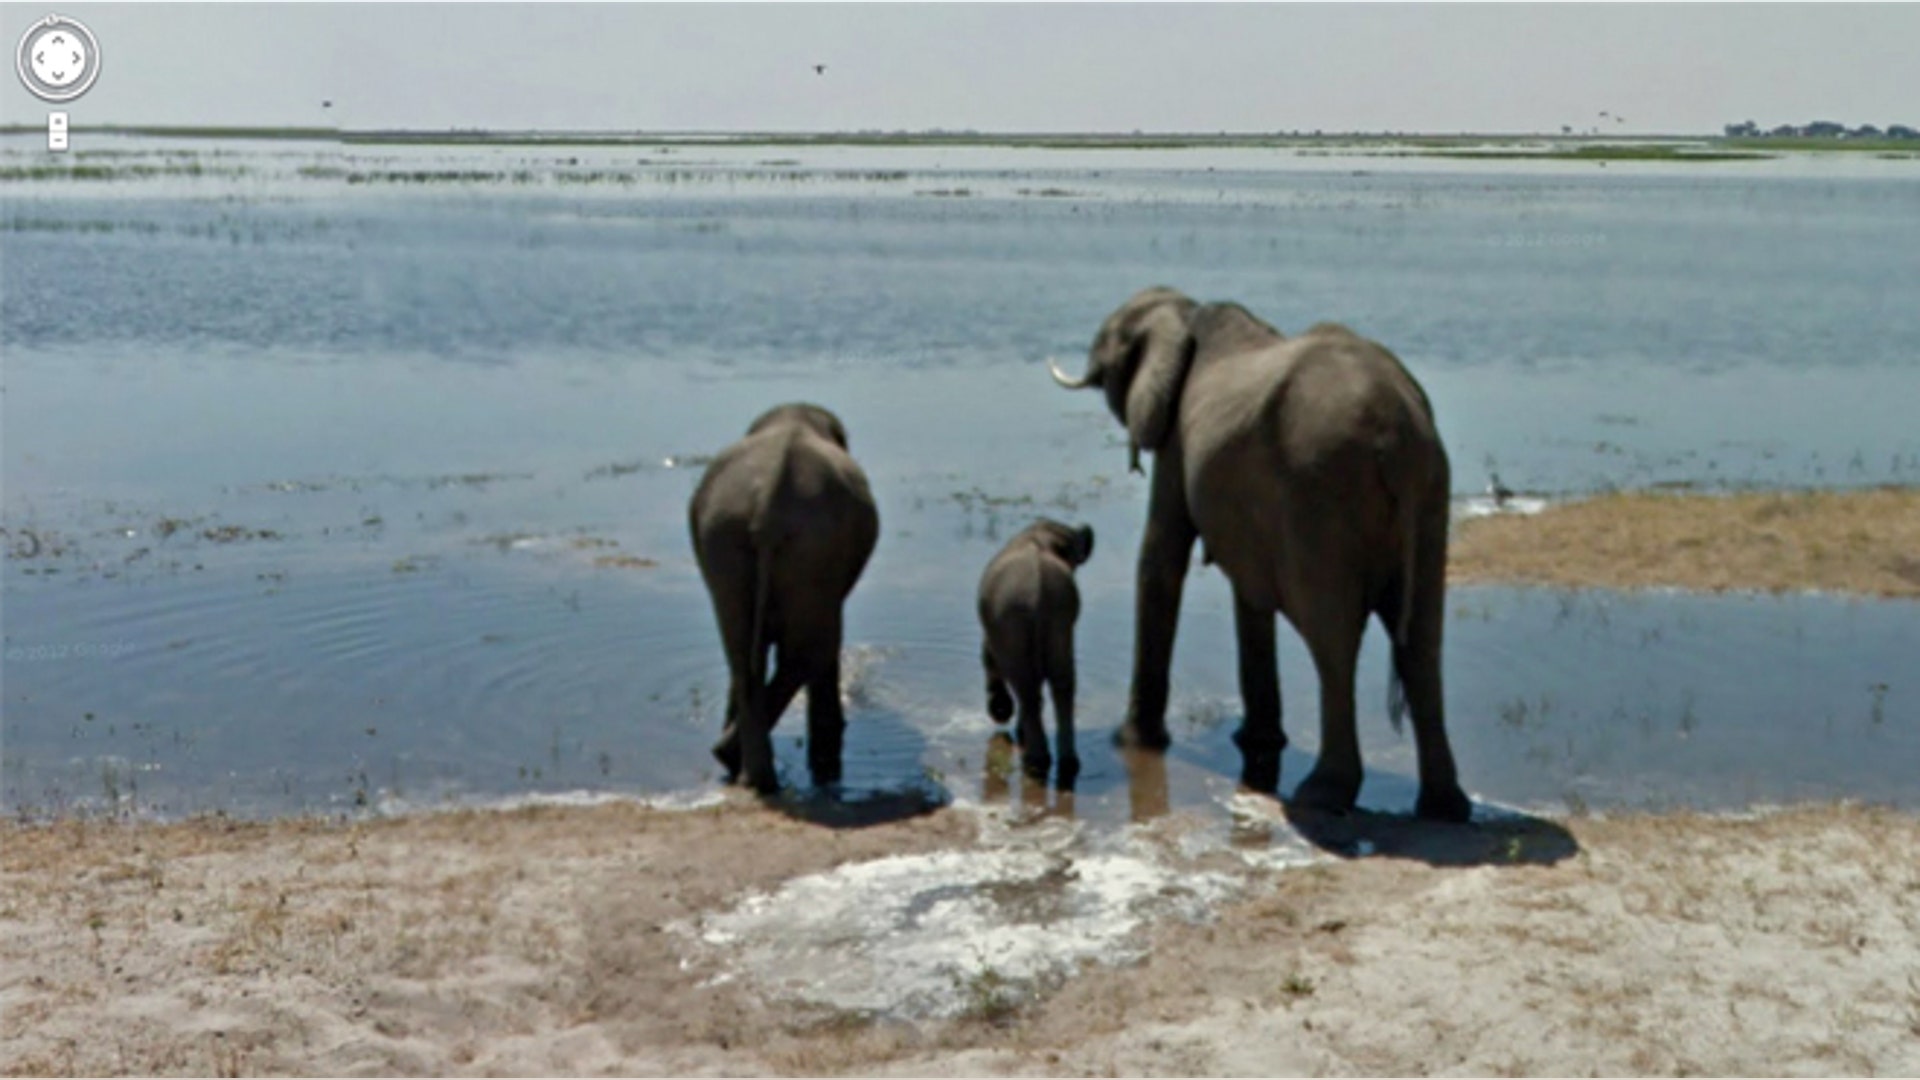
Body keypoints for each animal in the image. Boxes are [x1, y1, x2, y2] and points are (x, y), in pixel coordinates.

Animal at [689, 403, 879, 794]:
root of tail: (767, 507)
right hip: (815, 551)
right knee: (815, 646)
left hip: (723, 536)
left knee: (741, 654)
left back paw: (739, 767)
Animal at [977, 518, 1095, 787]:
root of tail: (1037, 581)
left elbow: (989, 655)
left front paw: (1001, 712)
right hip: (1060, 614)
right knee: (1063, 681)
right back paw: (1067, 763)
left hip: (1011, 614)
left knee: (1026, 685)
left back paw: (1034, 762)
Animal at [1050, 287, 1470, 822]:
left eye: (1107, 355)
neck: (1186, 311)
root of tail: (1395, 434)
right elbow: (1248, 593)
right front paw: (1258, 742)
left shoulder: (1178, 442)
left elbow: (1162, 557)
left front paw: (1128, 742)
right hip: (1432, 491)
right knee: (1422, 641)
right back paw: (1444, 808)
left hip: (1322, 489)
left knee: (1334, 639)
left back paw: (1321, 796)